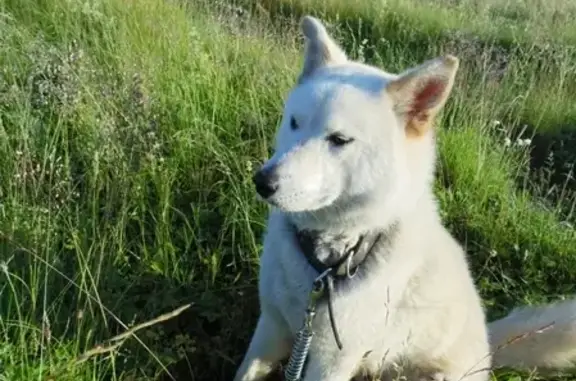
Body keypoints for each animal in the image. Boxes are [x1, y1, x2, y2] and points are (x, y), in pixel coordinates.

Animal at [232, 14, 576, 380]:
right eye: (294, 122)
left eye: (339, 140)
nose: (262, 182)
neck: (325, 265)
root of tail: (487, 348)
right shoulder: (272, 326)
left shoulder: (330, 360)